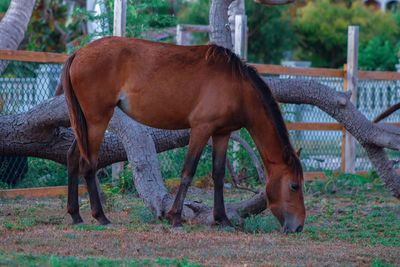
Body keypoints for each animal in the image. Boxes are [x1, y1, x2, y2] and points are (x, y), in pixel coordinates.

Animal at [58, 36, 304, 233]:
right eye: (294, 186)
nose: (299, 227)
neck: (238, 88)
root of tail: (78, 53)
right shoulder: (201, 129)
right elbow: (188, 172)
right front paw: (175, 217)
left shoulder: (222, 134)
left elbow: (218, 175)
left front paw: (223, 220)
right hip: (97, 121)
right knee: (88, 164)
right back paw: (101, 217)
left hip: (84, 125)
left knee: (72, 157)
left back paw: (76, 215)